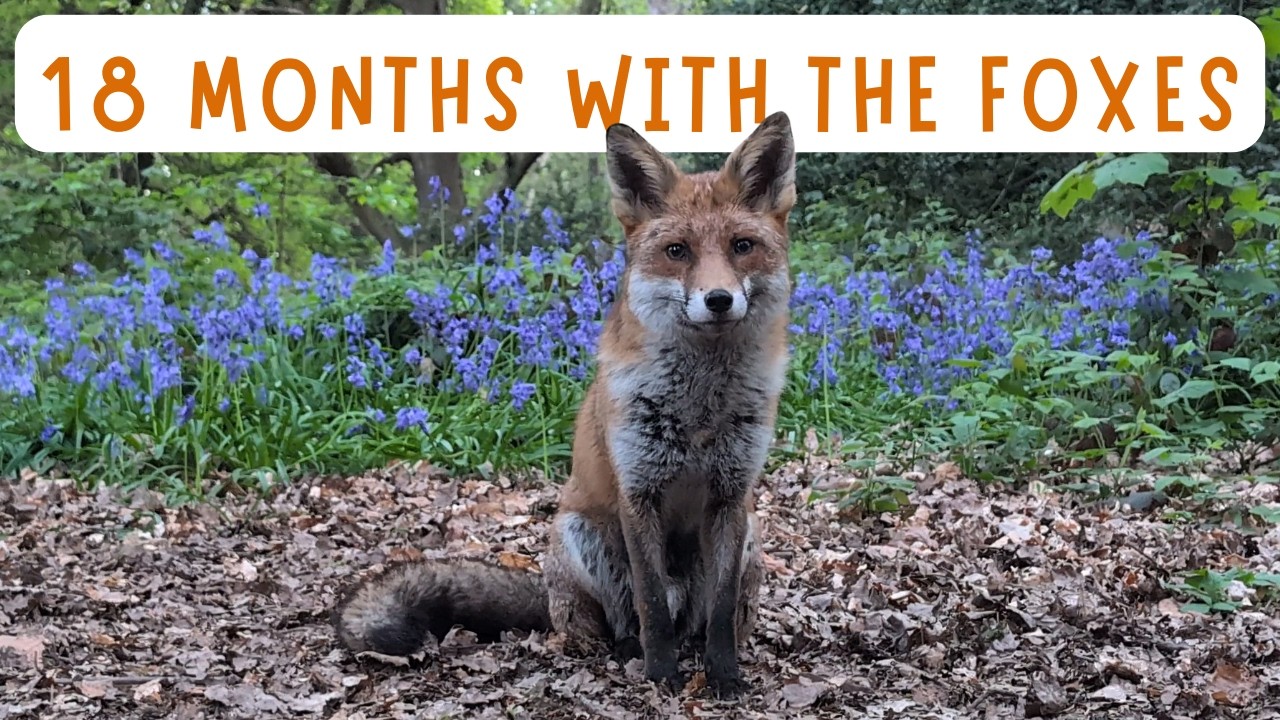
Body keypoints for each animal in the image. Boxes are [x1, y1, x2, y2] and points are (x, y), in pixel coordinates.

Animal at [332, 110, 797, 699]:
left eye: (741, 246)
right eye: (678, 252)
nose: (718, 300)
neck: (698, 411)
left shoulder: (731, 497)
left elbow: (718, 611)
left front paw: (724, 676)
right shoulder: (638, 493)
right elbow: (650, 605)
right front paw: (661, 676)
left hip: (751, 538)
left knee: (696, 621)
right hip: (581, 535)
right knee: (622, 621)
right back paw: (627, 651)